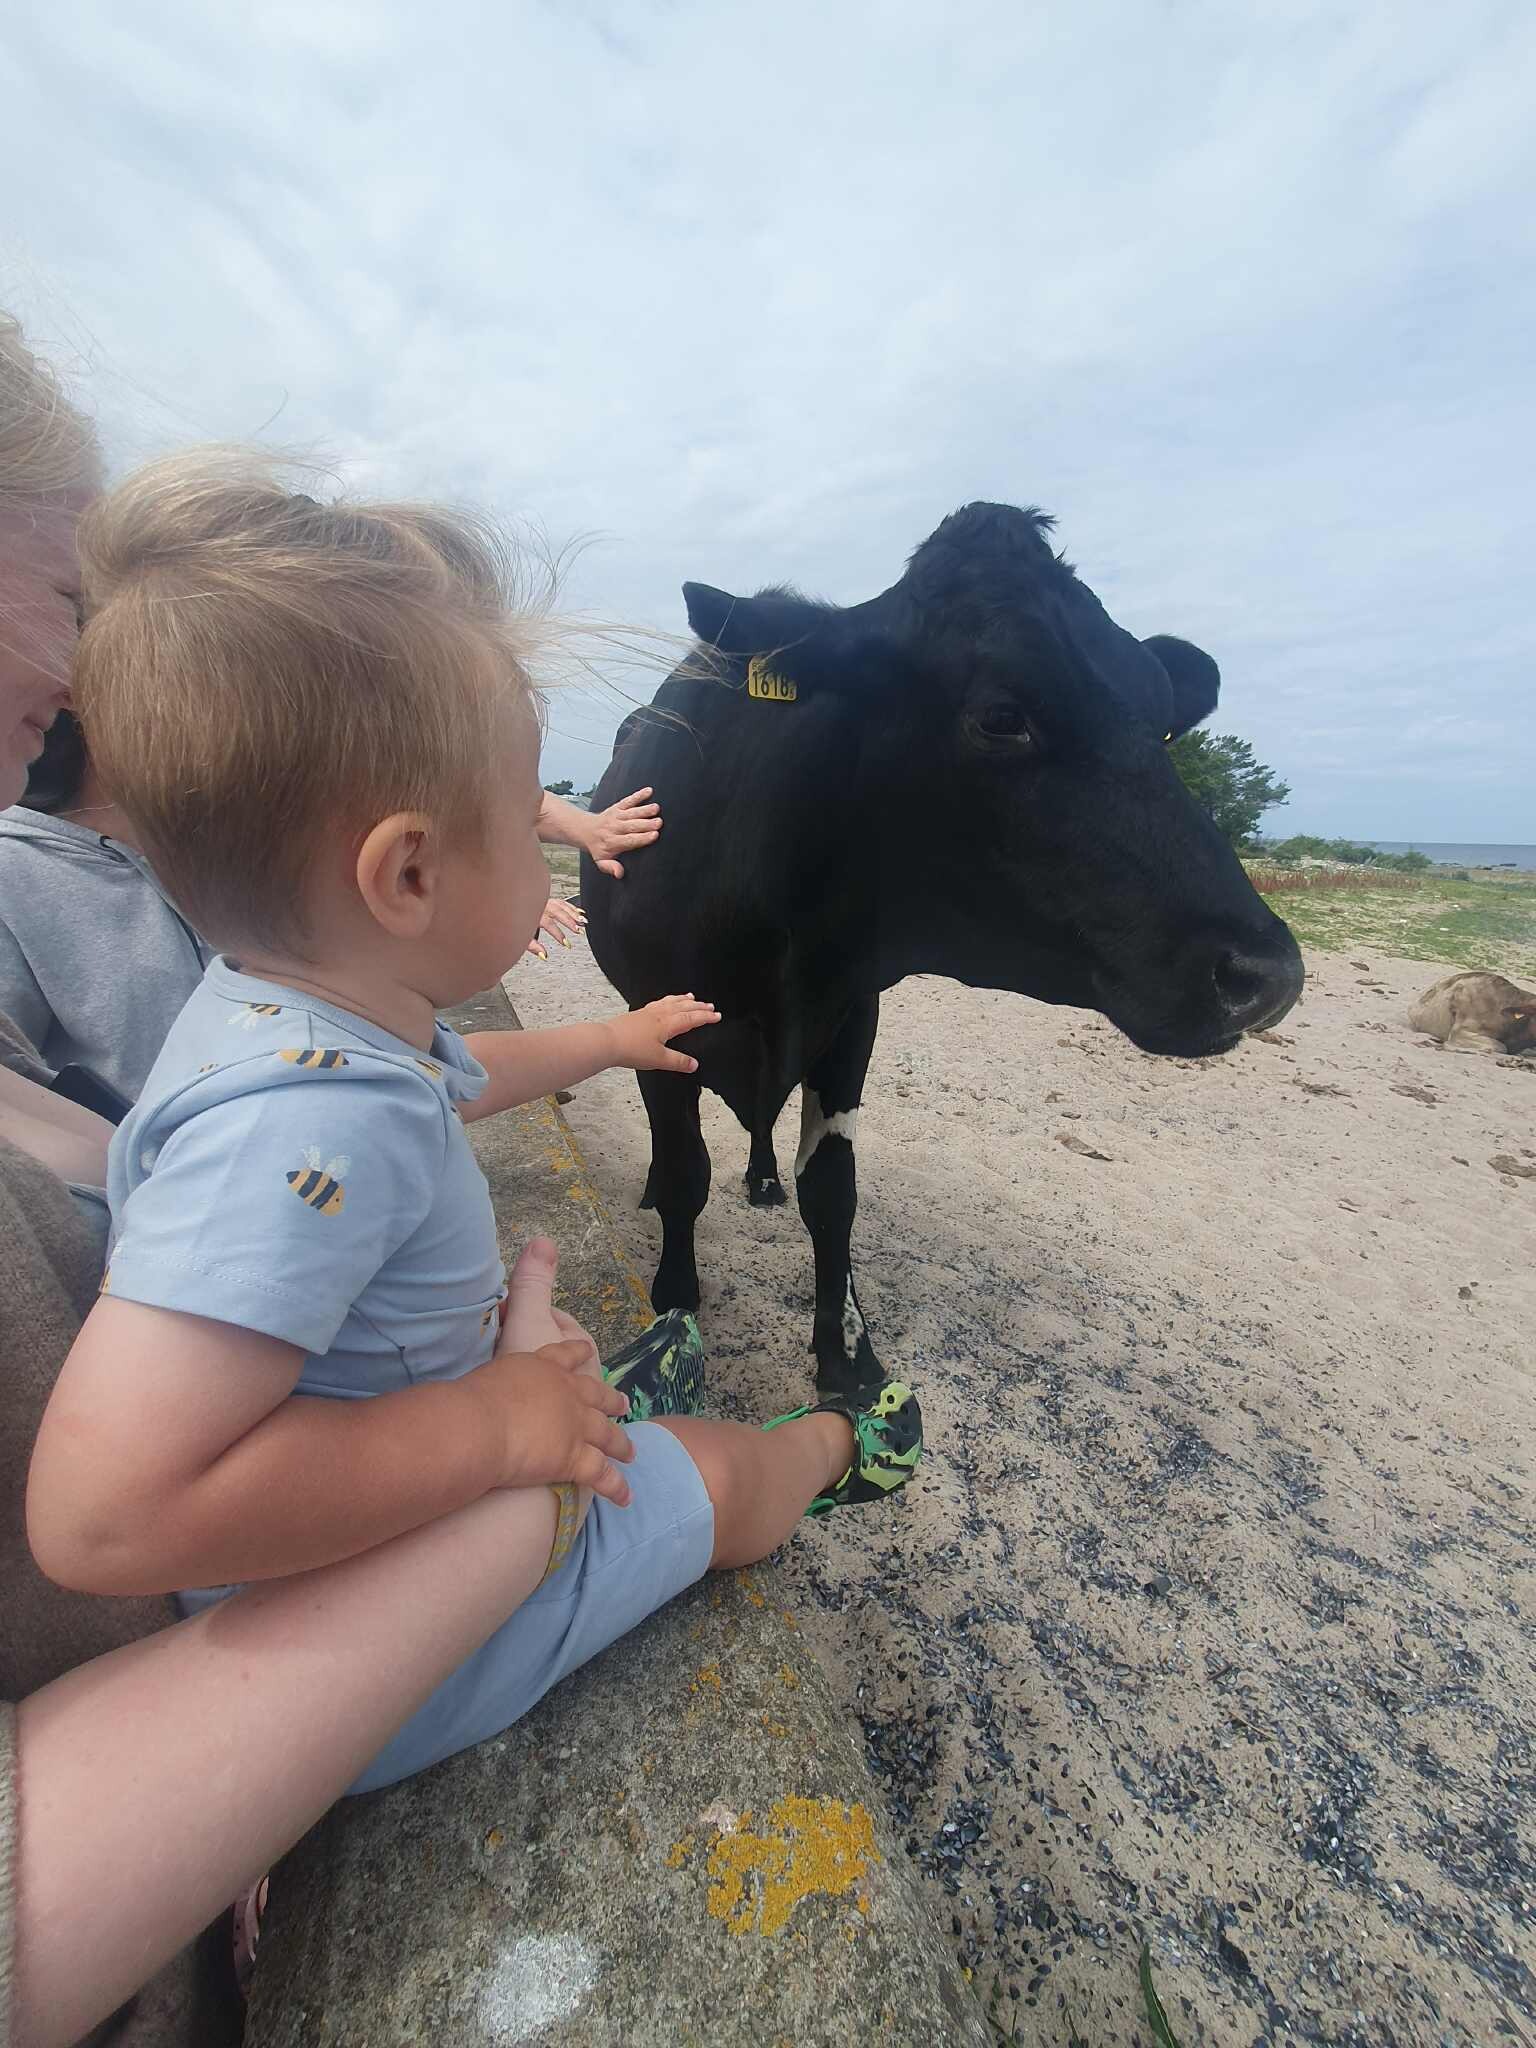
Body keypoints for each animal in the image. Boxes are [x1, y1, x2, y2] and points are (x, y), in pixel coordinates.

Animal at [582, 501, 1304, 1397]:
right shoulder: (659, 1015)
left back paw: (763, 1176)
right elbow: (685, 1173)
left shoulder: (851, 1013)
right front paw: (674, 1308)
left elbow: (834, 1190)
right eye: (1002, 715)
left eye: (1162, 722)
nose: (1266, 974)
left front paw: (847, 1355)